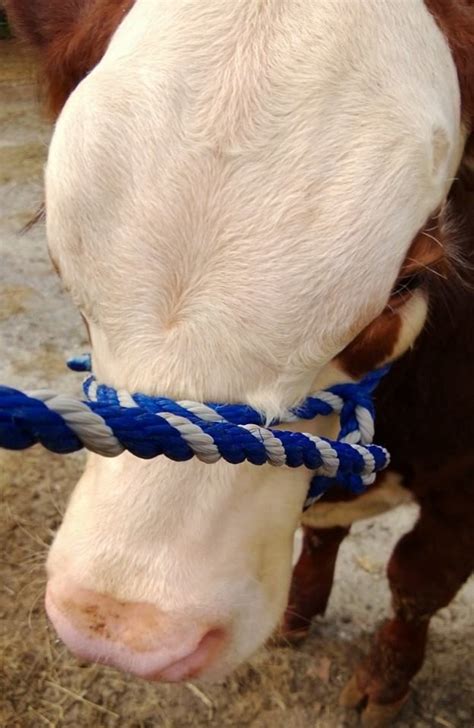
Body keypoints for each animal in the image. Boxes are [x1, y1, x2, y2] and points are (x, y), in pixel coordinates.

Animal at [4, 2, 474, 724]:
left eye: (405, 283)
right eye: (58, 252)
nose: (127, 626)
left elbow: (417, 581)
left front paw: (383, 686)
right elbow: (326, 534)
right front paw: (299, 615)